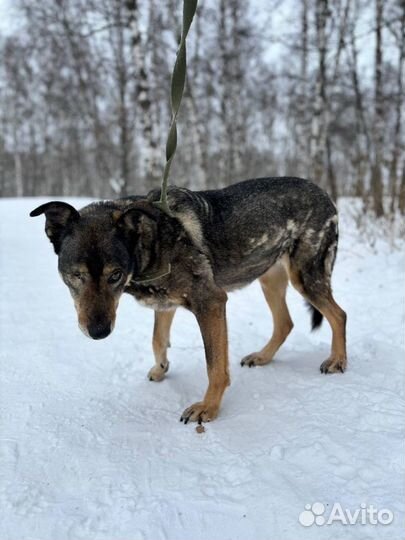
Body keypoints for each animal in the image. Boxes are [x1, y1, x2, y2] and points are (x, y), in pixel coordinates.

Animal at [30, 177, 346, 422]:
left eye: (115, 275)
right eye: (76, 275)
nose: (98, 333)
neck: (151, 241)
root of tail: (323, 193)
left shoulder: (211, 303)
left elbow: (214, 366)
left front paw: (209, 408)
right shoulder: (165, 304)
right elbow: (157, 339)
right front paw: (161, 369)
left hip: (305, 277)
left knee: (338, 314)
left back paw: (337, 361)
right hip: (269, 278)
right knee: (285, 323)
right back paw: (263, 357)